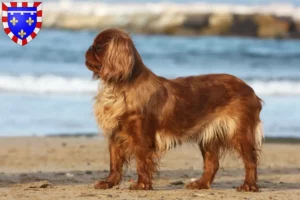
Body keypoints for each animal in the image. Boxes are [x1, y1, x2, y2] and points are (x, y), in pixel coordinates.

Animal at [84, 28, 262, 192]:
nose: (88, 49)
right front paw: (108, 183)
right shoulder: (115, 135)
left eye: (98, 47)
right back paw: (200, 184)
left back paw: (248, 185)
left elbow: (142, 162)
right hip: (209, 138)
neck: (118, 88)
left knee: (250, 160)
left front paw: (142, 184)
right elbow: (115, 163)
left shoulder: (142, 137)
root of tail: (250, 89)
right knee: (213, 163)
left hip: (239, 133)